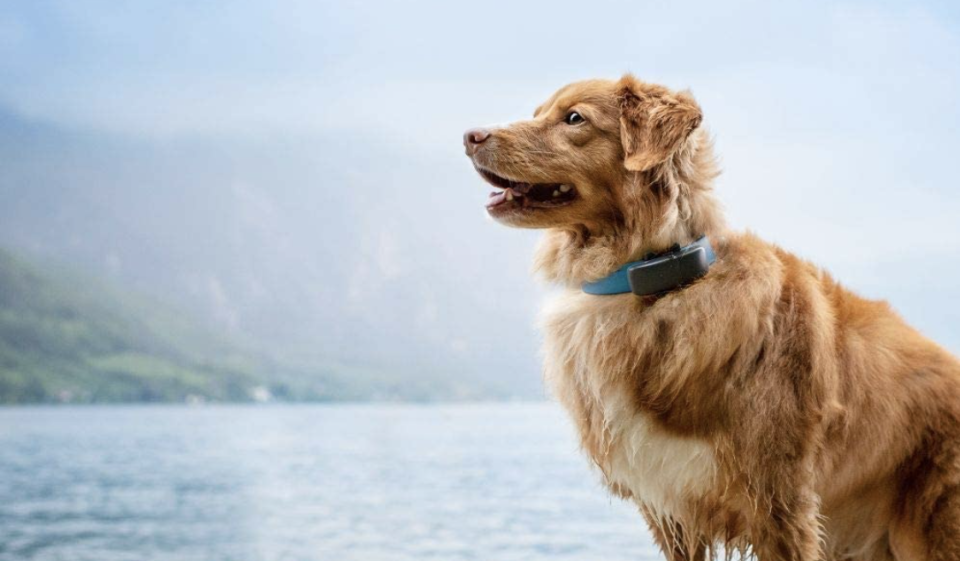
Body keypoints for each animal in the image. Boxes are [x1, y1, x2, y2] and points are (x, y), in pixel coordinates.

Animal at [462, 75, 960, 560]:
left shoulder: (779, 501)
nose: (470, 136)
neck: (655, 285)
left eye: (574, 118)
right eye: (537, 113)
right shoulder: (670, 508)